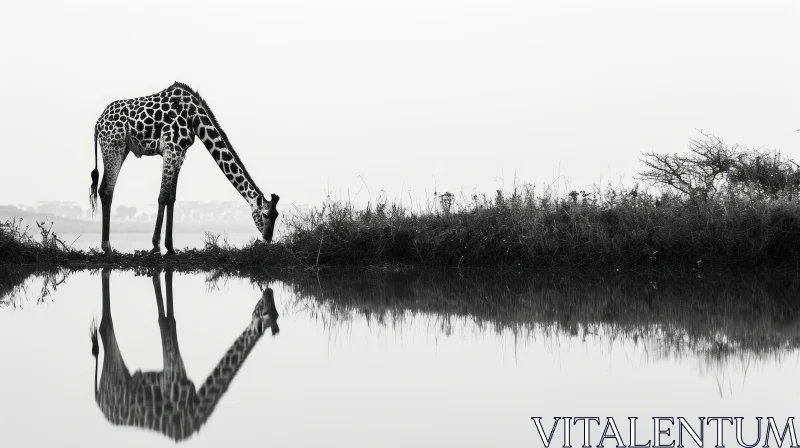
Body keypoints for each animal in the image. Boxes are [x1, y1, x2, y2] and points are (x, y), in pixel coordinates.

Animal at [88, 82, 278, 254]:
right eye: (265, 215)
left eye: (276, 216)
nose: (268, 238)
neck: (194, 118)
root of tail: (98, 123)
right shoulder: (171, 148)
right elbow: (163, 196)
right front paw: (155, 246)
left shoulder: (180, 153)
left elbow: (171, 197)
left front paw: (170, 247)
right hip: (113, 145)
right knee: (106, 190)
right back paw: (106, 247)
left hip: (123, 148)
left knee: (105, 189)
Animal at [88, 270, 278, 440]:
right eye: (264, 309)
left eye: (276, 312)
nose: (269, 291)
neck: (194, 409)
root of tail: (99, 401)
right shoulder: (171, 376)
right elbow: (165, 320)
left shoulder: (178, 373)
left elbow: (170, 316)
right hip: (114, 373)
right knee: (105, 326)